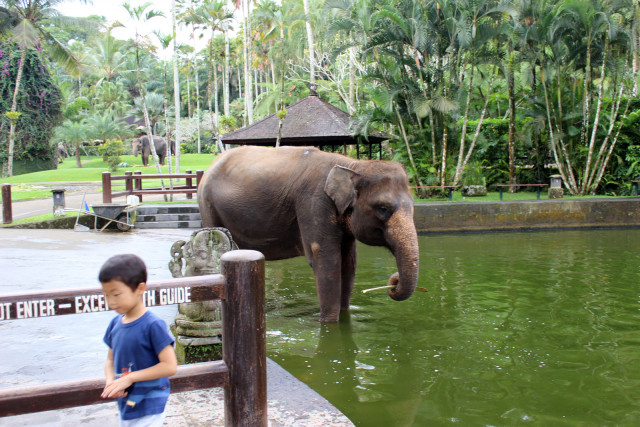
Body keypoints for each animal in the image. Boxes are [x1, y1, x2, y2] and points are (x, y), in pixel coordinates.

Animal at [199, 145, 420, 322]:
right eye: (383, 208)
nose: (393, 282)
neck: (352, 165)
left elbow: (348, 262)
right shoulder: (314, 202)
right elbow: (326, 260)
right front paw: (329, 325)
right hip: (207, 205)